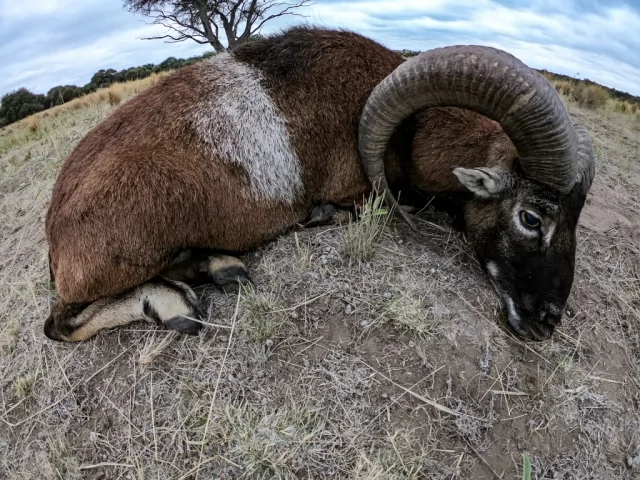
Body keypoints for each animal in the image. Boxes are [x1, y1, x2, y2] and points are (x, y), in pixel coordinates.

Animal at [43, 26, 595, 343]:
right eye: (532, 216)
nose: (548, 320)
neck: (410, 128)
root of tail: (56, 232)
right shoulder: (360, 191)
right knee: (60, 325)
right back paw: (176, 305)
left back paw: (219, 266)